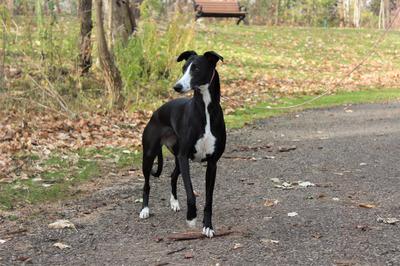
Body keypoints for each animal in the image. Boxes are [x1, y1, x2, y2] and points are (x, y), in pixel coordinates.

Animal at [138, 51, 225, 238]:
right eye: (184, 68)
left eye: (196, 68)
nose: (176, 87)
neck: (205, 110)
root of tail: (156, 112)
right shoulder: (185, 157)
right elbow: (191, 192)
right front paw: (191, 217)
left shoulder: (212, 163)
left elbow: (209, 199)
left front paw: (208, 226)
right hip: (149, 155)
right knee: (147, 184)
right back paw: (144, 209)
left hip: (176, 156)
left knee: (172, 175)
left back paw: (174, 202)